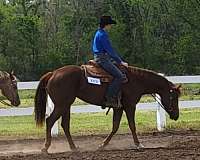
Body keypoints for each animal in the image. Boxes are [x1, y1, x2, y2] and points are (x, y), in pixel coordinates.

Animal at [34, 65, 181, 152]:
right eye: (173, 97)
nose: (176, 116)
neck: (136, 81)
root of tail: (52, 74)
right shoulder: (130, 106)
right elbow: (132, 125)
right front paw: (139, 144)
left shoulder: (119, 108)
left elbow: (115, 126)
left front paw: (102, 145)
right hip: (61, 105)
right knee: (50, 121)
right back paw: (45, 147)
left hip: (66, 106)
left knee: (65, 124)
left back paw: (73, 147)